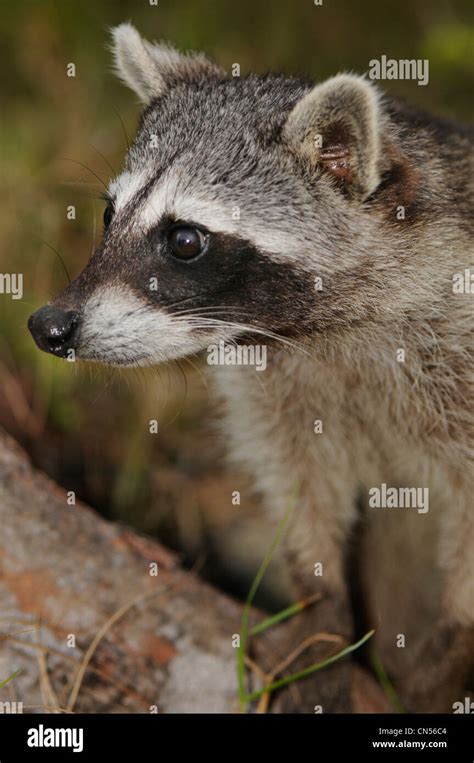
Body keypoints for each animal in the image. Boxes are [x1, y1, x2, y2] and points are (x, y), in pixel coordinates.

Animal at [27, 23, 472, 712]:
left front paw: (450, 646)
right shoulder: (273, 384)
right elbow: (298, 478)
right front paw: (320, 602)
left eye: (185, 240)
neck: (316, 333)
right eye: (108, 215)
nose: (49, 326)